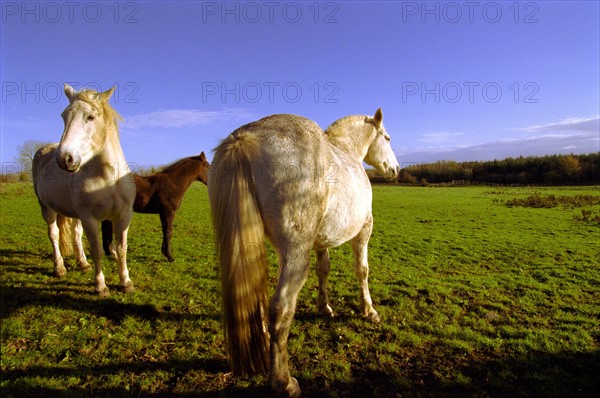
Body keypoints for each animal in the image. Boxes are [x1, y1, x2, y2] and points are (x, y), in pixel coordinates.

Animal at [33, 83, 136, 296]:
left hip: (74, 214)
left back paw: (83, 263)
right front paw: (100, 286)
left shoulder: (123, 217)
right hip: (47, 208)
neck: (108, 178)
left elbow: (122, 249)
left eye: (90, 117)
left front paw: (126, 282)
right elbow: (97, 250)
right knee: (54, 234)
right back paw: (59, 268)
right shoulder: (90, 218)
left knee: (75, 234)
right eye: (64, 116)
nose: (65, 159)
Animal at [209, 108, 400, 394]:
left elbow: (324, 269)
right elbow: (362, 270)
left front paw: (324, 307)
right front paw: (369, 311)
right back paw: (283, 381)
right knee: (281, 308)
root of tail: (244, 138)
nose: (396, 169)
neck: (346, 151)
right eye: (387, 138)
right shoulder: (364, 229)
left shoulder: (321, 242)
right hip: (296, 256)